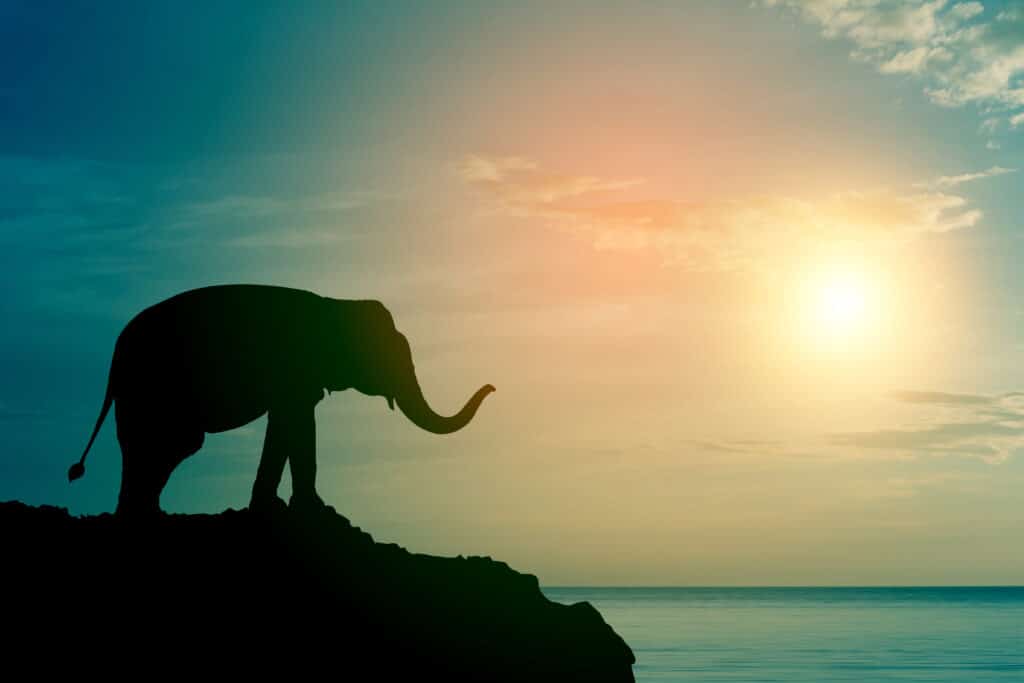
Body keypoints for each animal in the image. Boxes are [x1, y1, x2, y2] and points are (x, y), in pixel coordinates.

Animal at [68, 284, 496, 515]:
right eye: (391, 357)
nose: (492, 387)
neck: (335, 303)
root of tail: (114, 358)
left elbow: (288, 423)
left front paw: (280, 507)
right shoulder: (294, 373)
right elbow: (296, 422)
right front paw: (313, 510)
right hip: (151, 390)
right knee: (166, 445)